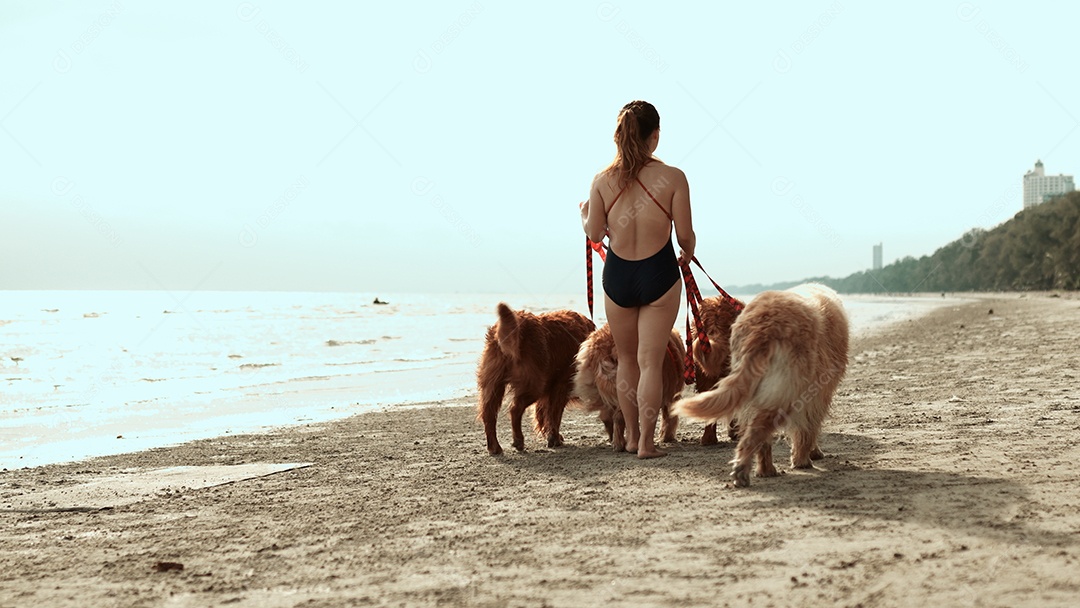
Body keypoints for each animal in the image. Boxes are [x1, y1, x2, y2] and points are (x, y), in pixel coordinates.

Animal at [477, 304, 596, 457]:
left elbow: (543, 413)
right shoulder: (561, 385)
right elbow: (554, 415)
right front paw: (554, 438)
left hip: (493, 384)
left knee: (489, 414)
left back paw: (494, 447)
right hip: (534, 384)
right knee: (515, 408)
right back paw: (518, 440)